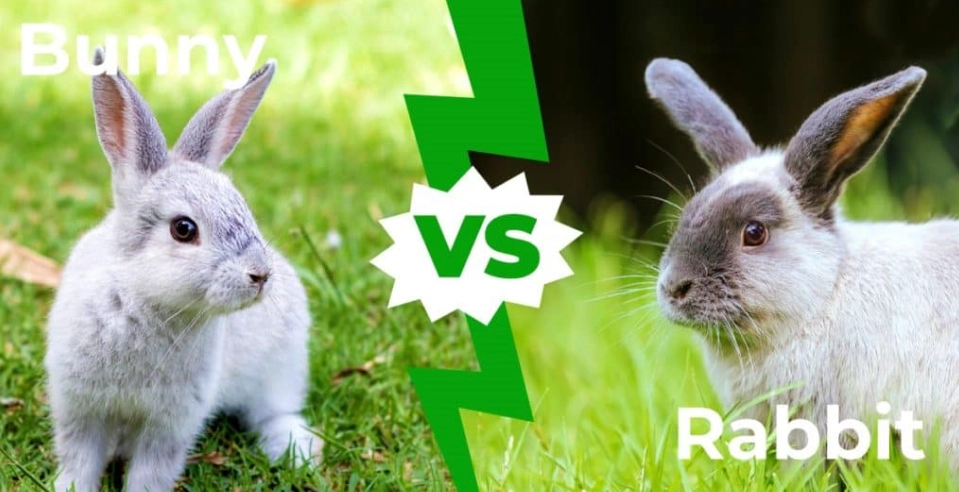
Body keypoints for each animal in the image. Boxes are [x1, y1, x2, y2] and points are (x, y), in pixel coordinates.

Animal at [44, 47, 322, 492]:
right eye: (183, 229)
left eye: (243, 207)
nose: (260, 275)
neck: (143, 299)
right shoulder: (80, 407)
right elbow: (80, 460)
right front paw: (69, 487)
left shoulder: (171, 425)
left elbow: (150, 472)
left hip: (282, 368)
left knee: (274, 411)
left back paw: (297, 450)